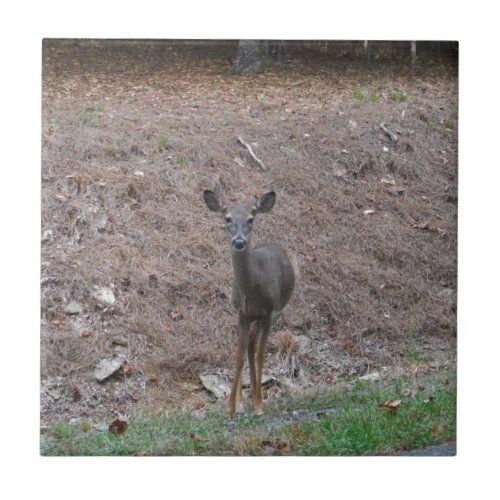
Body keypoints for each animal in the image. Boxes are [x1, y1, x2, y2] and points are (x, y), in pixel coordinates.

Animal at [204, 189, 296, 416]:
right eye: (227, 218)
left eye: (251, 219)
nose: (239, 242)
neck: (253, 288)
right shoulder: (242, 313)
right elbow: (239, 357)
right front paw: (230, 408)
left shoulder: (268, 312)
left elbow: (262, 356)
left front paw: (259, 405)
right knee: (249, 345)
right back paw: (244, 401)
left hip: (277, 313)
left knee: (254, 346)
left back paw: (255, 399)